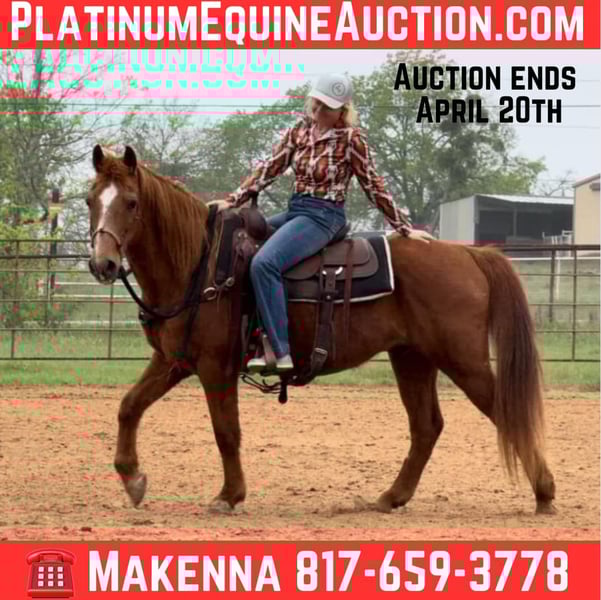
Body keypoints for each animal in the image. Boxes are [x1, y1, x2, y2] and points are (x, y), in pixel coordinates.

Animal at [86, 144, 556, 516]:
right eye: (91, 200)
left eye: (131, 202)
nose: (102, 263)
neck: (198, 264)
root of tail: (468, 254)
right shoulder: (174, 360)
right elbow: (129, 406)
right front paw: (133, 479)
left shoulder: (215, 367)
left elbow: (226, 432)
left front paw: (229, 495)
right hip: (412, 358)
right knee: (426, 427)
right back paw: (391, 497)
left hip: (462, 360)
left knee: (503, 412)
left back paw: (545, 494)